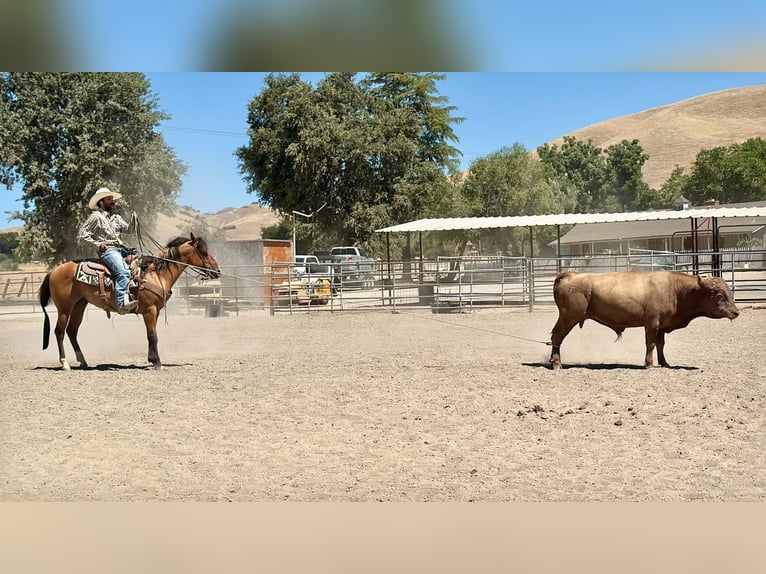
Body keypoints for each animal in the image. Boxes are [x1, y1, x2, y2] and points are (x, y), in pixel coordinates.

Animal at [39, 232, 221, 370]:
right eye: (204, 252)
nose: (217, 271)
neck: (155, 274)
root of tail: (54, 271)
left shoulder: (155, 311)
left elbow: (151, 335)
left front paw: (152, 359)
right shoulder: (150, 310)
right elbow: (153, 335)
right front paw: (157, 363)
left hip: (79, 305)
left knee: (72, 331)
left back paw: (83, 361)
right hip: (64, 307)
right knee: (59, 331)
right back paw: (65, 364)